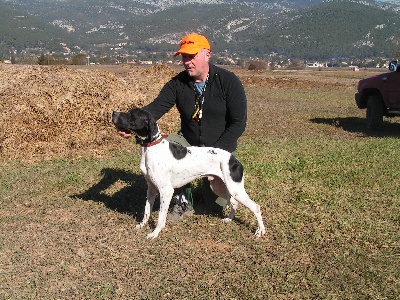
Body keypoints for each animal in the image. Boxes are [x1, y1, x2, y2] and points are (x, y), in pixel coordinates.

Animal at [111, 108, 266, 239]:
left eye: (132, 115)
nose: (113, 113)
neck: (151, 148)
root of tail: (234, 159)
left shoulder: (166, 191)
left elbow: (161, 218)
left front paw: (154, 233)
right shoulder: (151, 189)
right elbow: (146, 212)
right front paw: (142, 226)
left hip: (234, 189)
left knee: (256, 207)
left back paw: (260, 231)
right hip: (219, 186)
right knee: (234, 203)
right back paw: (229, 219)